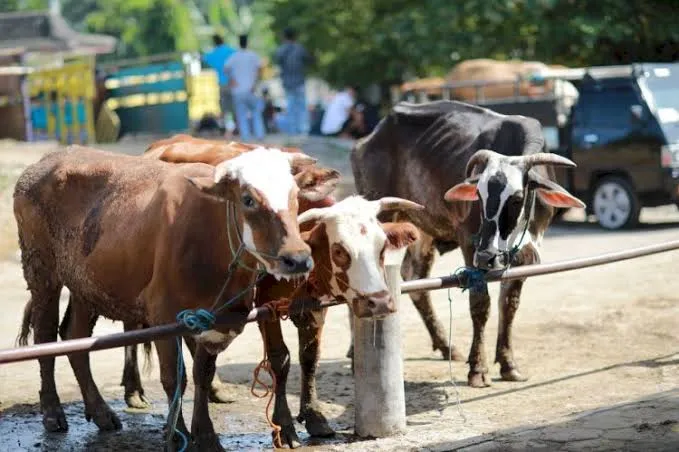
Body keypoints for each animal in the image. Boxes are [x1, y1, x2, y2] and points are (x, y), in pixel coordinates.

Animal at [12, 147, 326, 450]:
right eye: (248, 199)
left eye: (295, 196)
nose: (298, 259)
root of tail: (46, 161)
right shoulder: (163, 316)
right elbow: (174, 378)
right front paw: (177, 435)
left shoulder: (212, 319)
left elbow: (202, 374)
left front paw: (206, 436)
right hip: (41, 272)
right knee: (45, 336)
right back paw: (53, 413)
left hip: (86, 285)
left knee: (74, 337)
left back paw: (100, 412)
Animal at [350, 100, 584, 386]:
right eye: (479, 196)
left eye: (517, 198)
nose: (486, 257)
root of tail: (371, 135)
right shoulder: (470, 242)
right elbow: (480, 304)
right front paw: (478, 369)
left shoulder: (526, 254)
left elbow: (509, 304)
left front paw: (508, 364)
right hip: (380, 213)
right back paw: (354, 355)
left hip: (422, 227)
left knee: (415, 280)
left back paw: (446, 346)